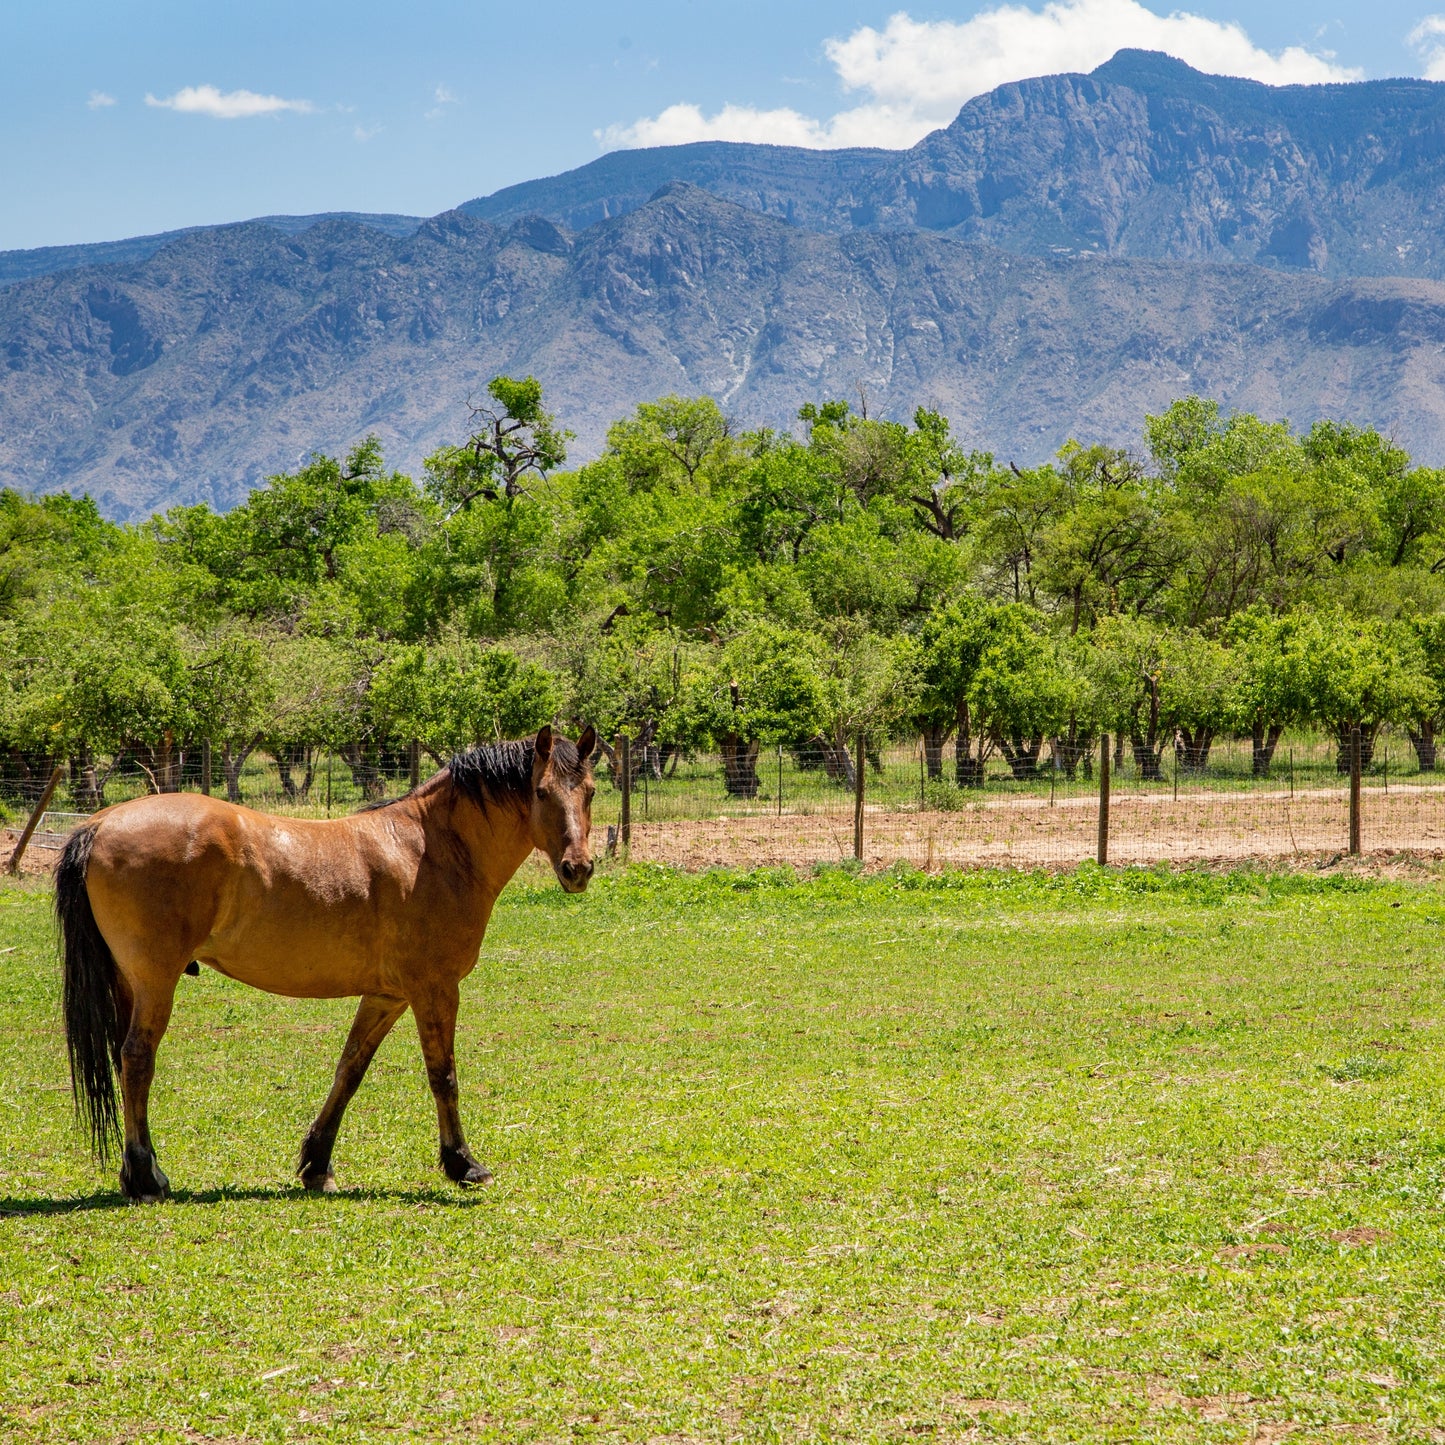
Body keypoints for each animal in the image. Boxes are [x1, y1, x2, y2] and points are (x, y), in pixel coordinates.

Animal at [54, 725, 596, 1202]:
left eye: (588, 792)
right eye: (541, 792)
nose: (579, 869)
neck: (429, 849)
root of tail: (98, 824)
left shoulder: (387, 995)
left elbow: (349, 1070)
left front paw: (317, 1163)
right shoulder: (435, 990)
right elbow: (443, 1076)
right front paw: (463, 1164)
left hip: (130, 983)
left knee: (125, 1062)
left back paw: (136, 1174)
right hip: (156, 981)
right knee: (137, 1059)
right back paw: (147, 1178)